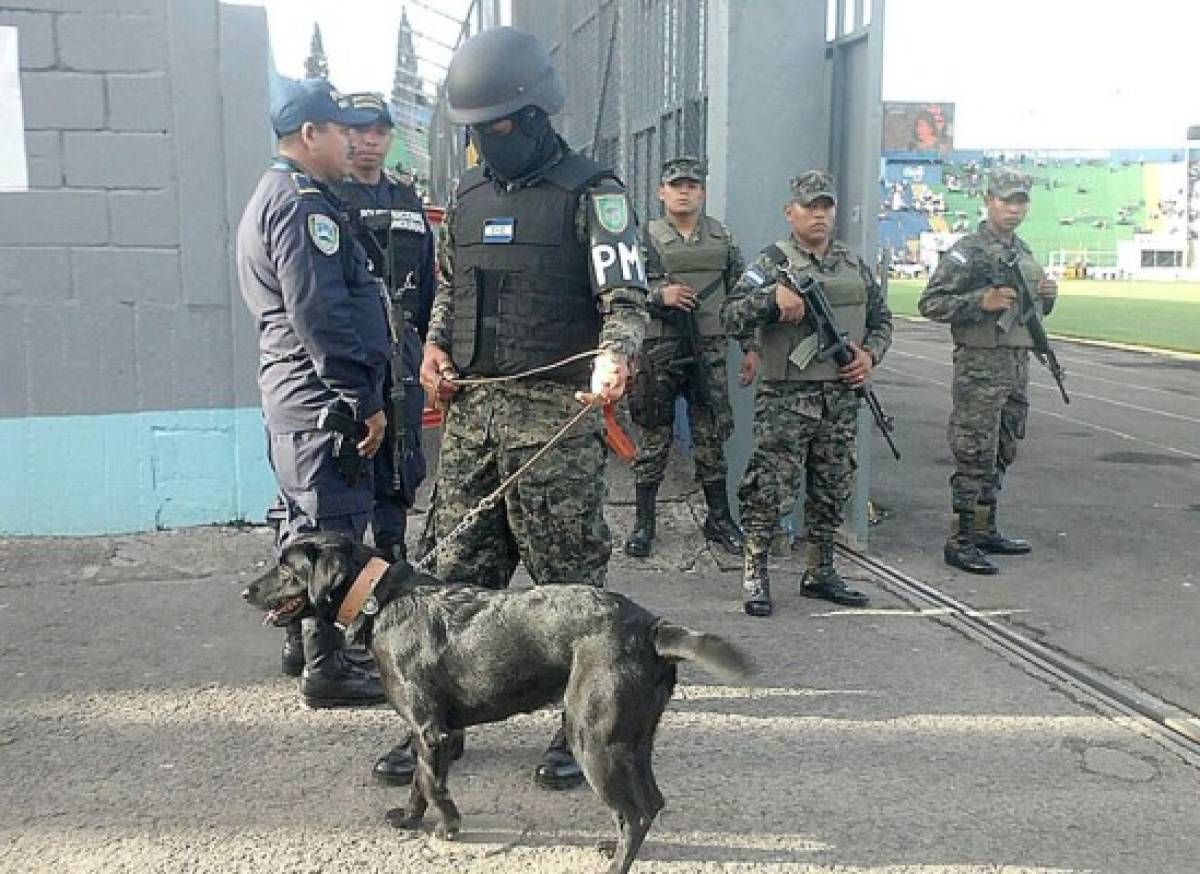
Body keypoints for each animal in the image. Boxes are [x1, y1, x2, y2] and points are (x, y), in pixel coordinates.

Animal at [243, 533, 748, 874]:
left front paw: (448, 827)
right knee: (650, 804)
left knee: (635, 811)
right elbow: (420, 781)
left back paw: (614, 865)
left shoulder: (431, 730)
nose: (246, 591)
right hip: (632, 738)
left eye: (286, 567)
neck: (378, 600)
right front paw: (410, 820)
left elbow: (434, 785)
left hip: (594, 739)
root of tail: (651, 628)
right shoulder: (431, 733)